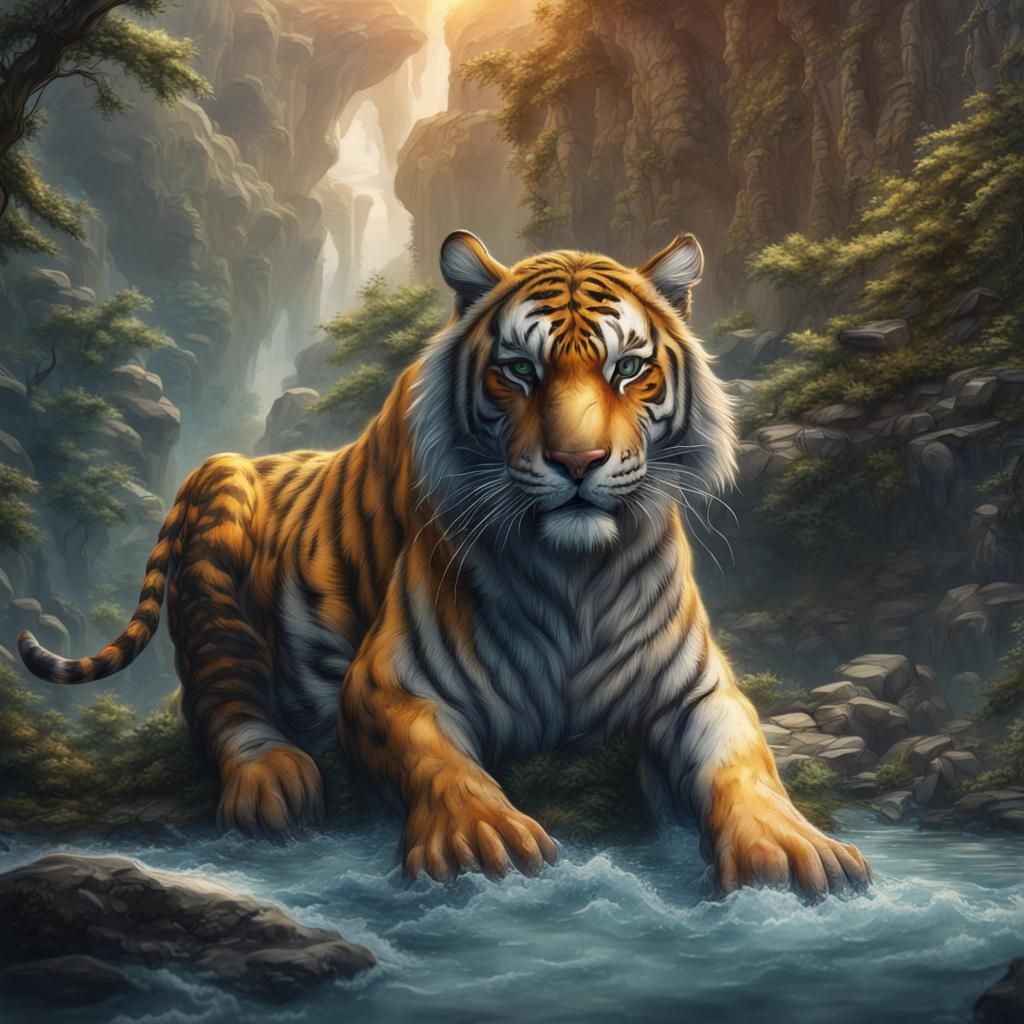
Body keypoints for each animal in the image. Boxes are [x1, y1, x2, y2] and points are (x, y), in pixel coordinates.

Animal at [18, 229, 870, 898]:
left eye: (628, 369)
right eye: (520, 371)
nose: (578, 462)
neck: (577, 578)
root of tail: (236, 457)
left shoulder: (698, 689)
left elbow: (743, 760)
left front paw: (793, 847)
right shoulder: (388, 684)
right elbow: (438, 759)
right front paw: (482, 834)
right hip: (223, 522)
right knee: (219, 700)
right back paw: (274, 781)